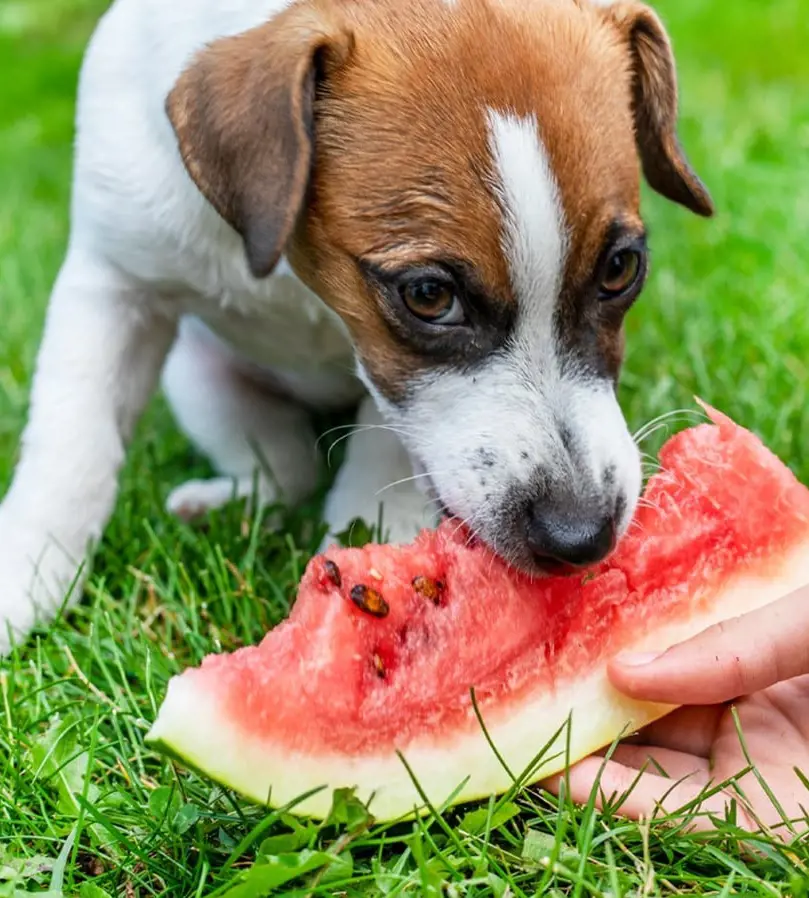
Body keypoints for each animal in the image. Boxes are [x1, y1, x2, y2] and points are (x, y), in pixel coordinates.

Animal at [0, 0, 712, 648]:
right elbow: (72, 445)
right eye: (429, 295)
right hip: (196, 373)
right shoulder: (110, 282)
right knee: (283, 469)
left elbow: (380, 447)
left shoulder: (387, 385)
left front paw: (373, 542)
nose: (582, 537)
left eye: (620, 268)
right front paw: (28, 576)